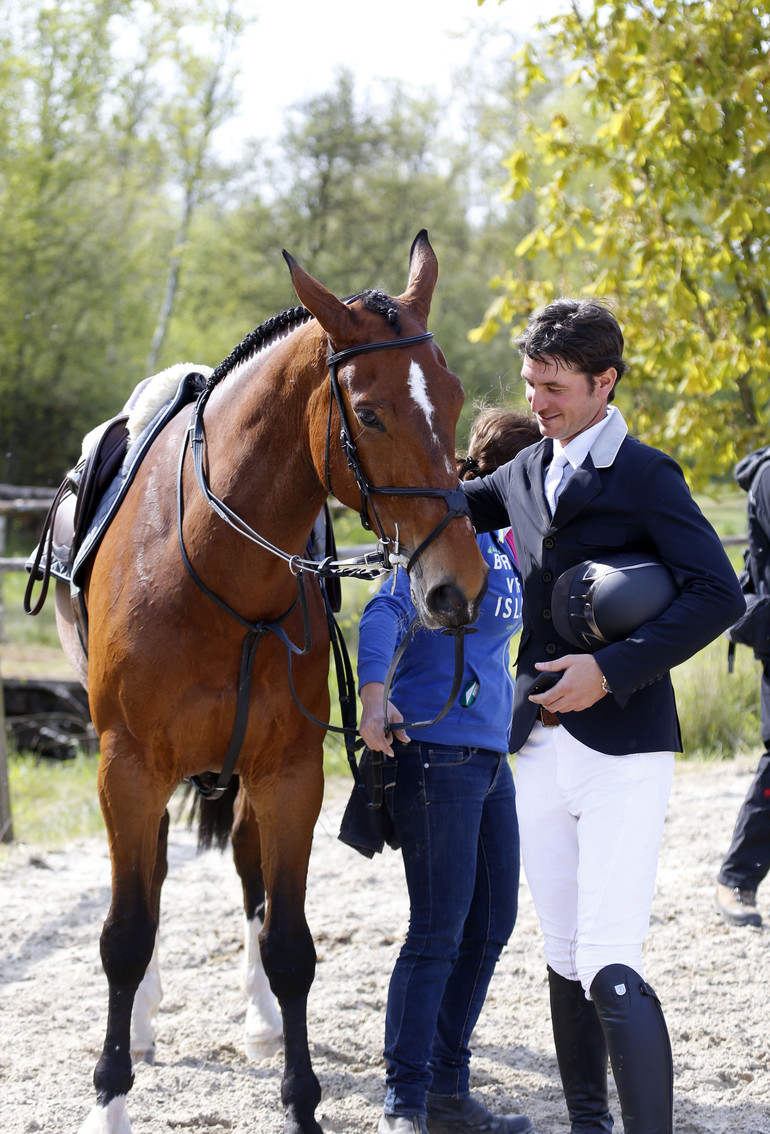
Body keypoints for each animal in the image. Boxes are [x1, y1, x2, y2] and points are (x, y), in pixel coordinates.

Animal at [52, 232, 487, 1134]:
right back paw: (139, 1027)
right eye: (370, 412)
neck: (210, 564)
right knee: (149, 881)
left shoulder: (288, 774)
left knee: (249, 874)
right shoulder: (127, 769)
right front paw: (110, 1096)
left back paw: (256, 1023)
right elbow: (125, 932)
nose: (456, 587)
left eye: (455, 397)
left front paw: (301, 1102)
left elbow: (289, 942)